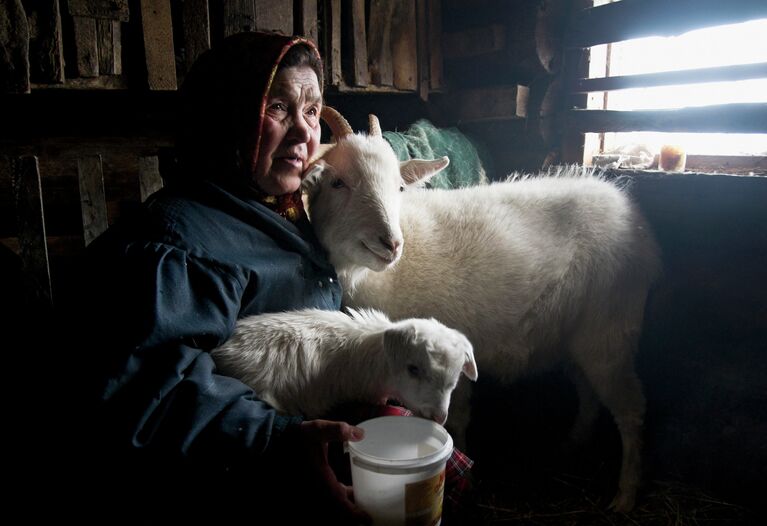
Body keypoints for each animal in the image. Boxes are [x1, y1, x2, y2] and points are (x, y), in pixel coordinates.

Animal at [304, 108, 664, 512]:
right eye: (337, 183)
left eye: (398, 186)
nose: (391, 244)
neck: (380, 275)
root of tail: (634, 219)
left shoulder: (449, 353)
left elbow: (455, 420)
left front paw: (465, 474)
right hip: (576, 335)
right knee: (589, 394)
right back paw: (572, 444)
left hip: (611, 327)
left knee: (630, 410)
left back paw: (625, 494)